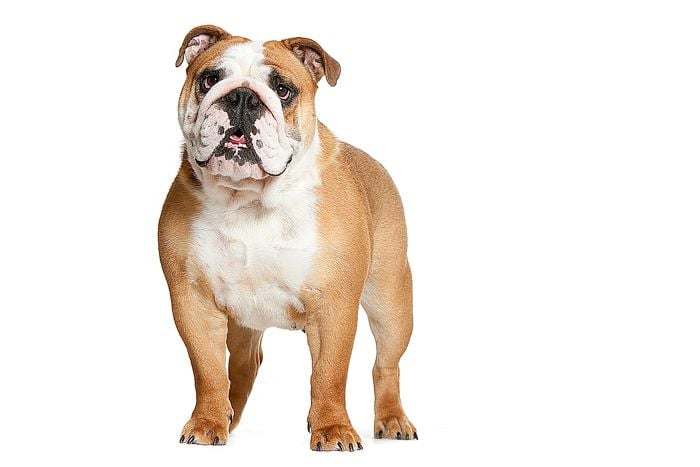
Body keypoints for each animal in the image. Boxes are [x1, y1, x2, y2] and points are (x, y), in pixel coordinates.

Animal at [158, 24, 417, 451]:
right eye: (210, 79)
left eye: (282, 90)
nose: (242, 97)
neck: (249, 200)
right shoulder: (192, 301)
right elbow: (209, 370)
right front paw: (208, 421)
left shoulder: (333, 305)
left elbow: (329, 374)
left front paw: (333, 429)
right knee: (242, 366)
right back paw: (229, 415)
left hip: (390, 301)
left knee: (387, 364)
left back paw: (392, 419)